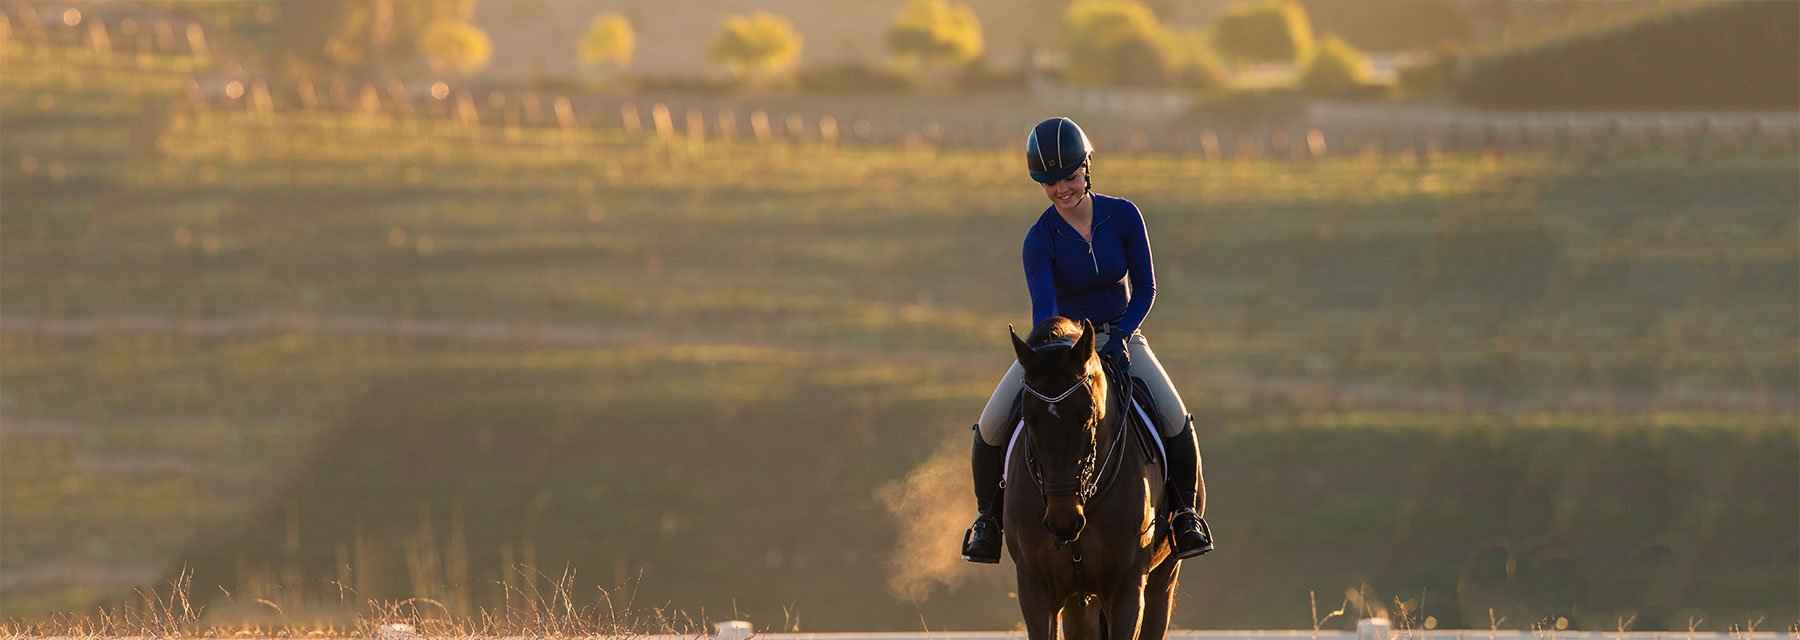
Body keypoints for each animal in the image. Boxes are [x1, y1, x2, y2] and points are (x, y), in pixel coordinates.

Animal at [1004, 316, 1180, 640]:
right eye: (1029, 419)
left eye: (1087, 417)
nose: (1063, 522)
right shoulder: (1034, 587)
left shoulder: (1127, 589)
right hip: (1079, 602)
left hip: (1164, 578)